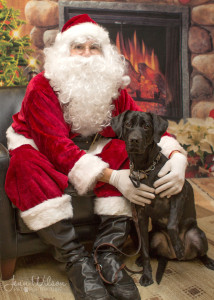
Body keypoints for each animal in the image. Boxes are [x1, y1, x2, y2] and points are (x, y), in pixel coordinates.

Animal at [111, 110, 213, 286]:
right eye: (128, 124)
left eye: (146, 126)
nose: (134, 140)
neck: (144, 169)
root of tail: (171, 256)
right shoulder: (141, 217)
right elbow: (144, 251)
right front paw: (146, 275)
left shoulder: (179, 192)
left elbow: (172, 223)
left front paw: (178, 246)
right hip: (154, 237)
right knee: (151, 252)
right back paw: (141, 260)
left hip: (198, 236)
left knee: (202, 253)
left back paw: (205, 260)